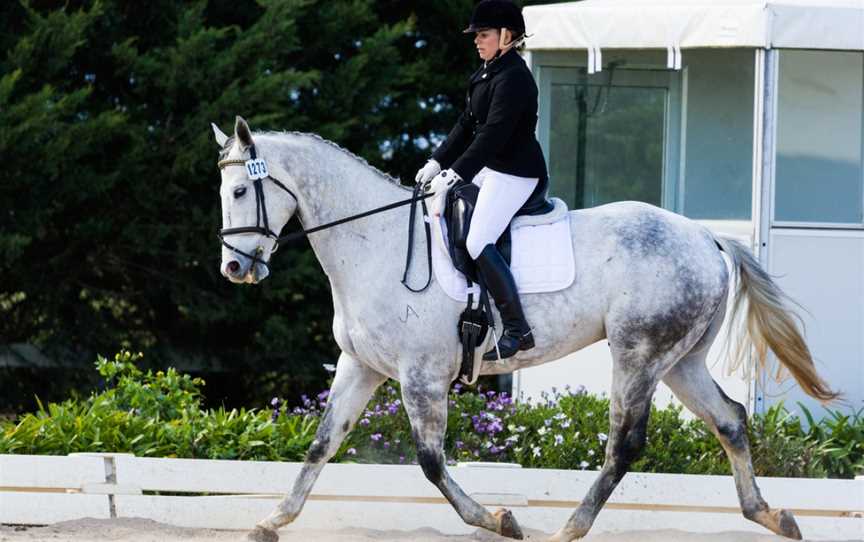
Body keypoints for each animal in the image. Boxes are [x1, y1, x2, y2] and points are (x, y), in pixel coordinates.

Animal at [214, 116, 836, 542]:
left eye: (241, 191)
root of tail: (706, 237)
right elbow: (322, 443)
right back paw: (771, 515)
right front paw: (271, 520)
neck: (377, 243)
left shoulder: (421, 376)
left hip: (637, 354)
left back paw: (568, 530)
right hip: (679, 360)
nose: (235, 269)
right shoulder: (361, 366)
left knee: (624, 444)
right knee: (729, 420)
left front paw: (499, 519)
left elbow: (431, 462)